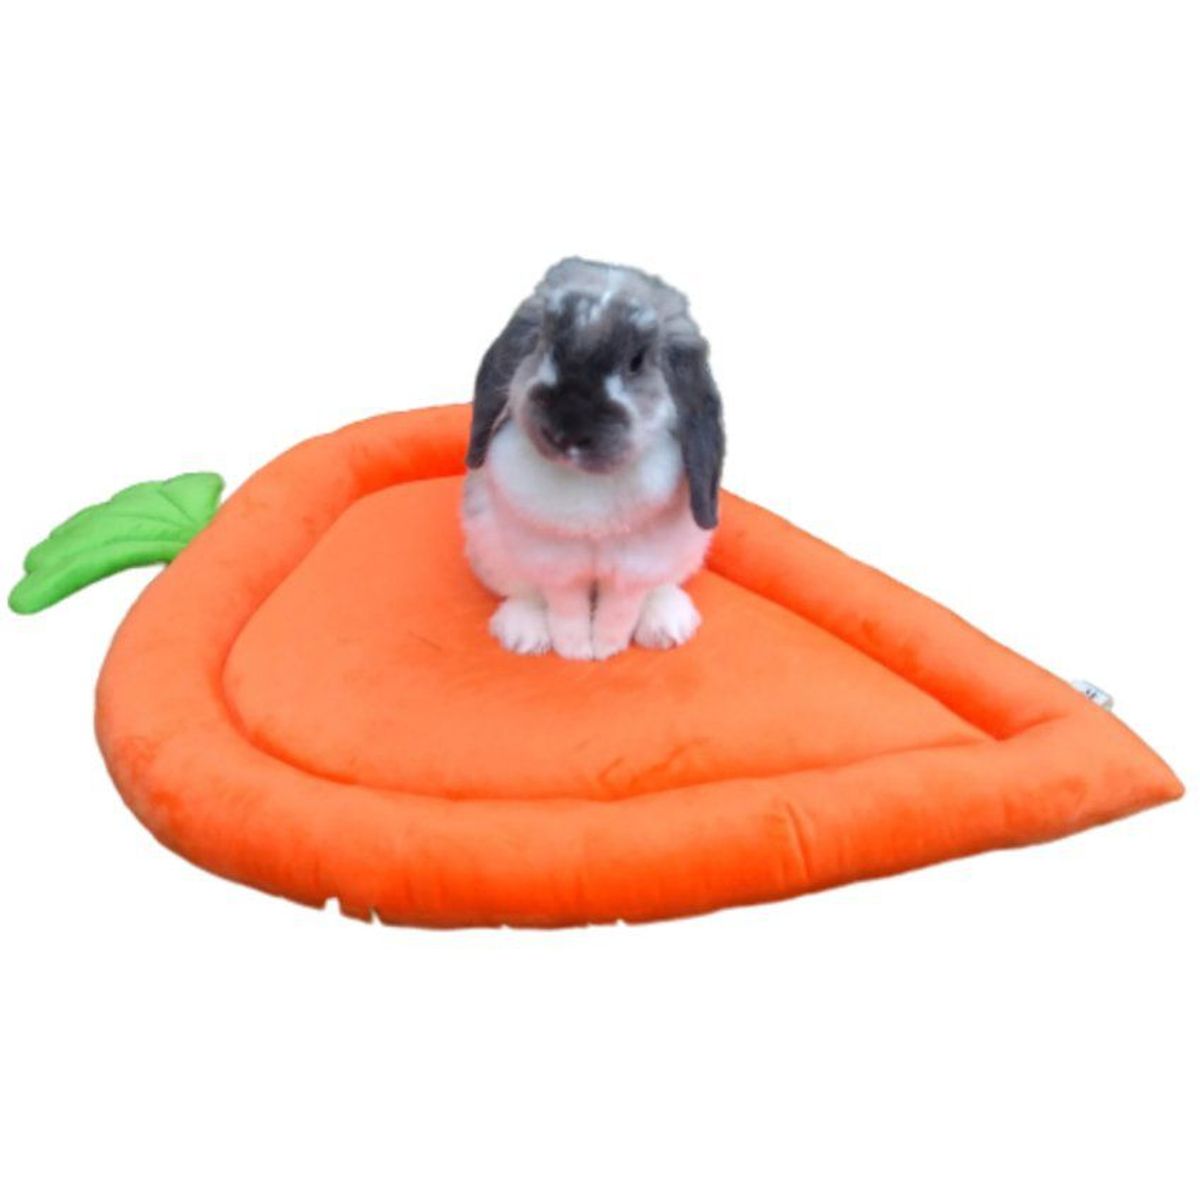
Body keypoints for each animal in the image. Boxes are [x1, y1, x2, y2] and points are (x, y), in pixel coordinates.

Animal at [461, 257, 725, 660]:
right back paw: (525, 635)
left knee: (662, 588)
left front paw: (606, 650)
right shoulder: (556, 562)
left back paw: (667, 627)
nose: (565, 431)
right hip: (489, 548)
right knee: (522, 593)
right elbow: (566, 608)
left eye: (636, 362)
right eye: (544, 341)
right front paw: (575, 652)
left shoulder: (635, 567)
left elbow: (619, 611)